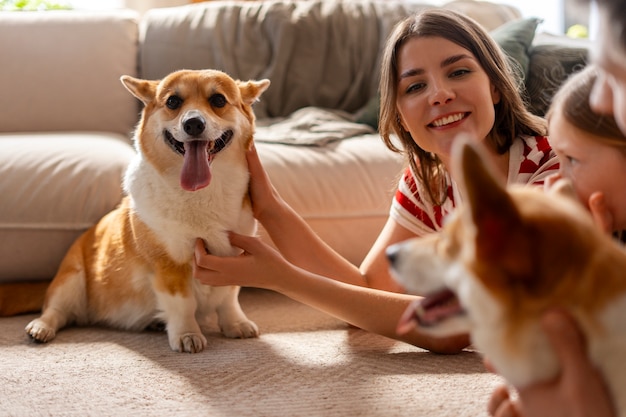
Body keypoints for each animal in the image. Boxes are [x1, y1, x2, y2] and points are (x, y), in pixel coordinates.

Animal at [25, 70, 268, 352]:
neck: (202, 193)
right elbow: (183, 304)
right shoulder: (168, 265)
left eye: (218, 100)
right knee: (56, 310)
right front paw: (187, 334)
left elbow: (229, 297)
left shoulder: (232, 259)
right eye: (173, 102)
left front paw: (236, 325)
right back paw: (40, 328)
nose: (193, 124)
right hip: (71, 279)